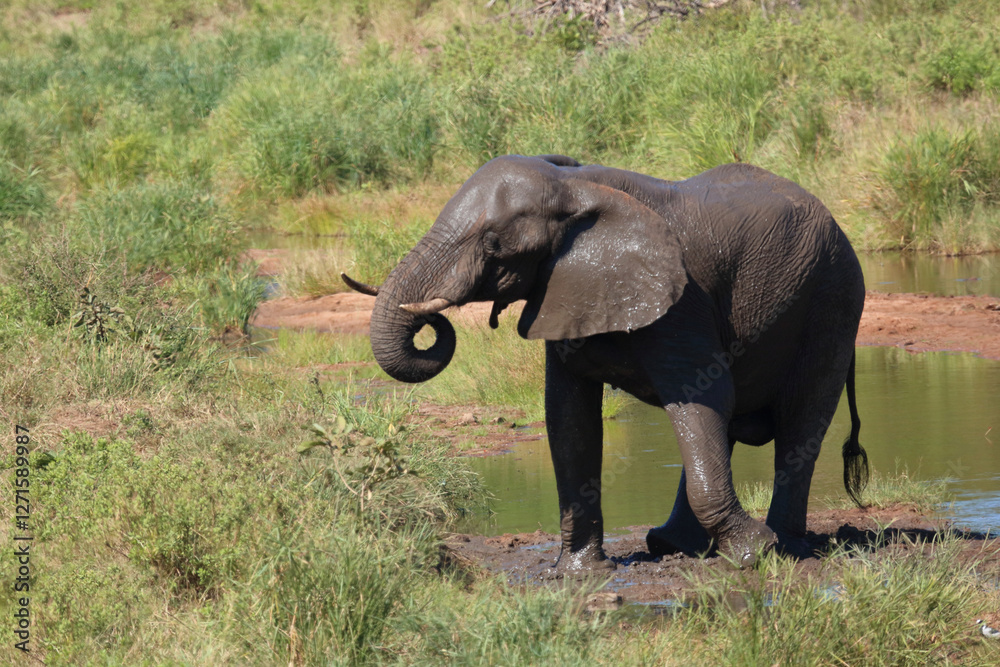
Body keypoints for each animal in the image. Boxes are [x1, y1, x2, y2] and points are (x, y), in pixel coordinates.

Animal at [342, 154, 868, 570]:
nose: (432, 319)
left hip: (832, 299)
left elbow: (703, 395)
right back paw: (671, 546)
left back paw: (787, 548)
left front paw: (755, 554)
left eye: (494, 245)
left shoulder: (685, 304)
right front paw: (578, 573)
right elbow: (569, 418)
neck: (574, 185)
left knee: (799, 424)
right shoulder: (564, 289)